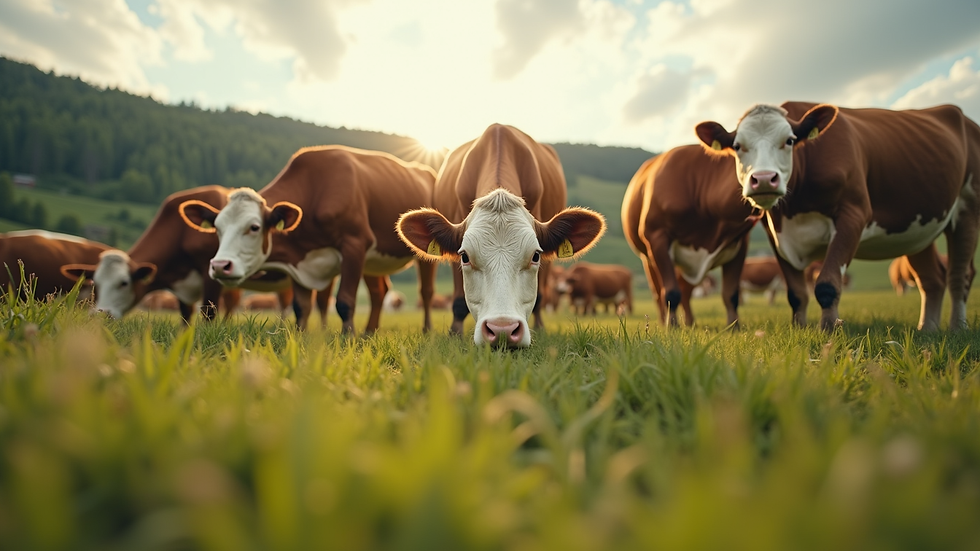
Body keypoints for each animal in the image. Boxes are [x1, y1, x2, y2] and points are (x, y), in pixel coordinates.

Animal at [177, 146, 438, 334]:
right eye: (217, 228)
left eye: (254, 227)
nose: (220, 266)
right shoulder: (298, 262)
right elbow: (301, 307)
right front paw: (300, 338)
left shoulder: (355, 244)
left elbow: (344, 302)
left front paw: (348, 338)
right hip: (373, 262)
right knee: (379, 292)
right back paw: (369, 332)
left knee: (425, 291)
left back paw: (426, 330)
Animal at [622, 144, 759, 327]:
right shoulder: (657, 237)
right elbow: (671, 292)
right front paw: (672, 326)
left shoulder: (740, 242)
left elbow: (731, 294)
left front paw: (733, 326)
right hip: (648, 258)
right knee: (658, 292)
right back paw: (664, 321)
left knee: (685, 292)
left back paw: (690, 322)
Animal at [696, 102, 980, 331]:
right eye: (737, 146)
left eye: (789, 140)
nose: (764, 179)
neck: (797, 206)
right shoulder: (776, 233)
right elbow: (796, 294)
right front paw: (800, 329)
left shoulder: (853, 214)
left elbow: (827, 285)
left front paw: (829, 331)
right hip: (918, 230)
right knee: (932, 280)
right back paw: (927, 330)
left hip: (968, 209)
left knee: (959, 275)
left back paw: (957, 328)